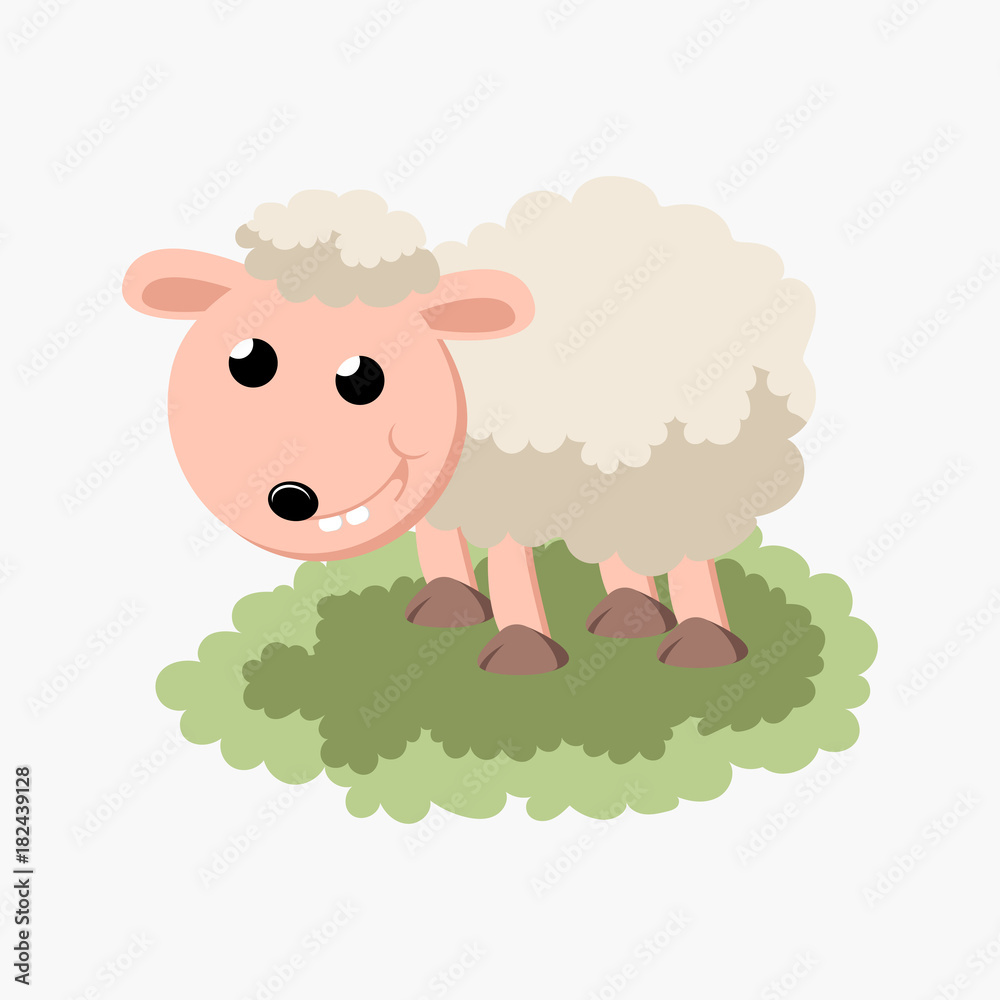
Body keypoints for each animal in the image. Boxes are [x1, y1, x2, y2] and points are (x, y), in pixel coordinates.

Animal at [123, 178, 815, 676]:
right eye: (247, 361)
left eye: (364, 377)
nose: (290, 497)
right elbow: (443, 539)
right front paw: (451, 608)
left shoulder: (510, 470)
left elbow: (509, 563)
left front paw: (521, 653)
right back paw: (627, 612)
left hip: (701, 450)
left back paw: (692, 639)